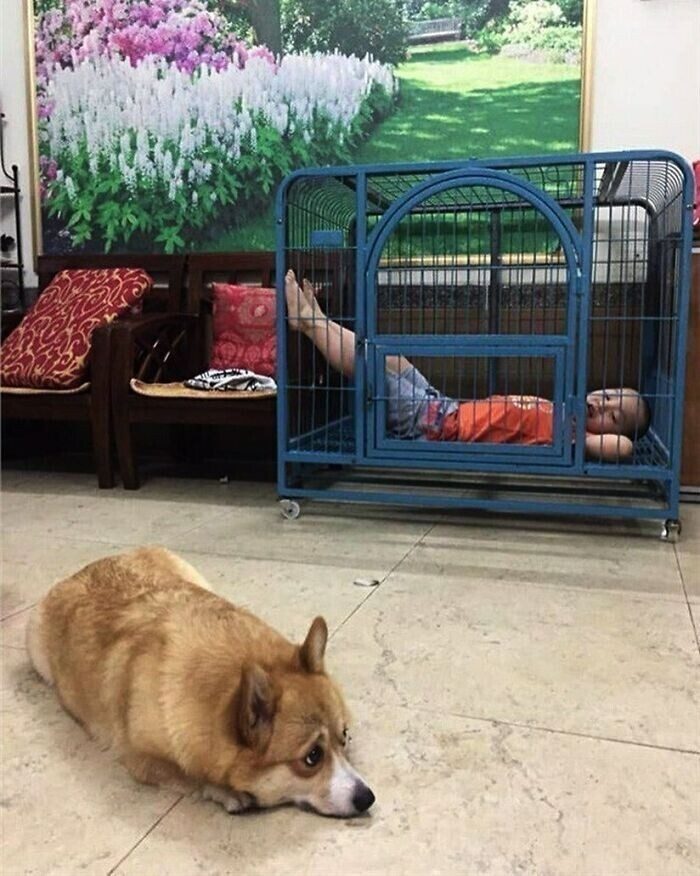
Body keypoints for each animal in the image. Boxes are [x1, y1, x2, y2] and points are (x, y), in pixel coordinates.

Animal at [26, 546, 375, 817]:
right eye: (312, 757)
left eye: (345, 736)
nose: (368, 797)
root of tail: (89, 565)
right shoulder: (141, 759)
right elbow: (189, 775)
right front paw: (225, 791)